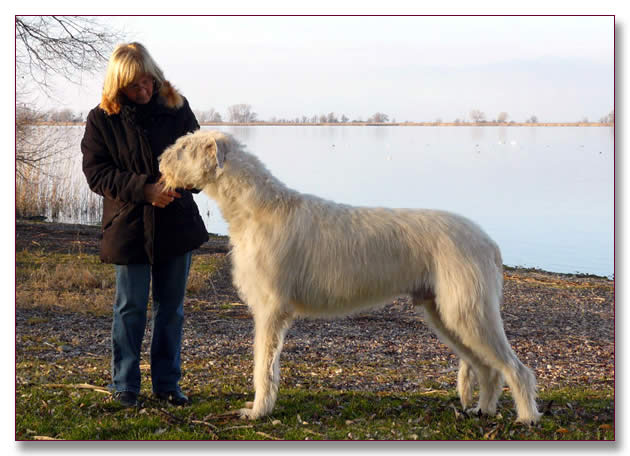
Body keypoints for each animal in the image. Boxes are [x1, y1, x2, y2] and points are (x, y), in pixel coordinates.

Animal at [159, 131, 544, 424]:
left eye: (184, 147)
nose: (160, 162)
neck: (257, 208)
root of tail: (488, 241)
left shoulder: (270, 311)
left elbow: (263, 367)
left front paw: (258, 411)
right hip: (445, 313)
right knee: (488, 369)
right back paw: (484, 409)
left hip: (467, 310)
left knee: (515, 368)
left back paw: (526, 417)